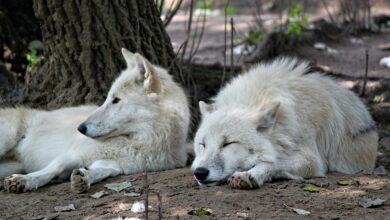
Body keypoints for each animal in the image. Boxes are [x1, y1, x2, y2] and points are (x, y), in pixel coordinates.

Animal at [0, 47, 189, 192]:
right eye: (108, 98)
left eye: (116, 100)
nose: (80, 128)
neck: (140, 142)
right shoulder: (71, 154)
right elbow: (51, 169)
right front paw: (24, 180)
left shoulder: (116, 165)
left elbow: (102, 171)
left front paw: (83, 177)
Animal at [192, 58, 378, 189]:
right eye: (203, 144)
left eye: (228, 143)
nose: (200, 173)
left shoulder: (312, 160)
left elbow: (273, 162)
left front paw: (249, 175)